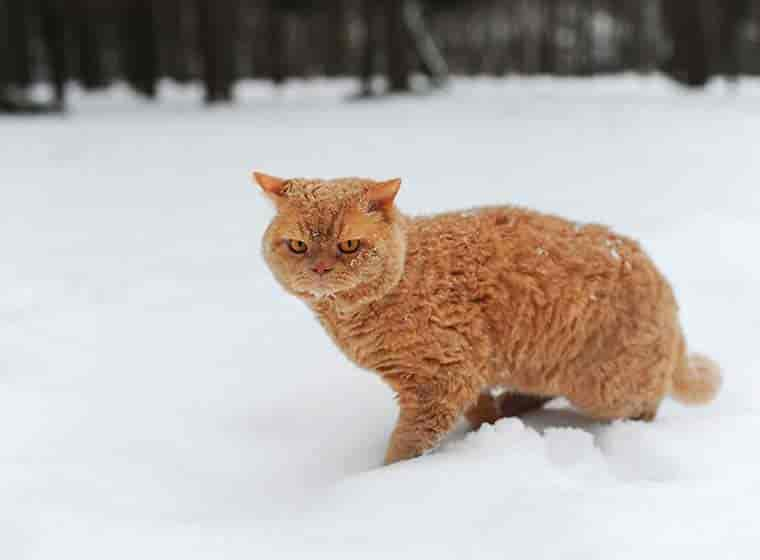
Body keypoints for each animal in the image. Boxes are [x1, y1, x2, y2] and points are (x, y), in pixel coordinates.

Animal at [254, 173, 720, 466]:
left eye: (349, 245)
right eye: (298, 245)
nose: (319, 269)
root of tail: (665, 289)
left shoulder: (441, 380)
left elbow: (404, 449)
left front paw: (378, 480)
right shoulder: (466, 371)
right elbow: (477, 409)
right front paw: (489, 425)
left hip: (608, 390)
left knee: (649, 402)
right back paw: (513, 404)